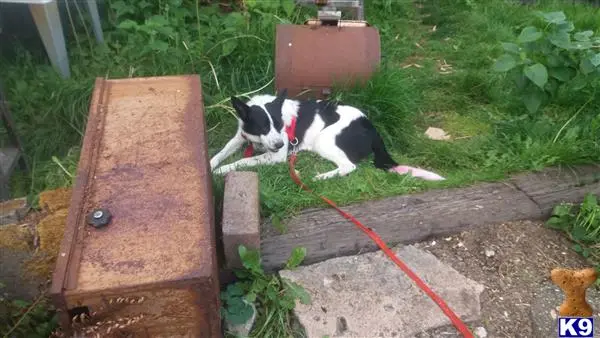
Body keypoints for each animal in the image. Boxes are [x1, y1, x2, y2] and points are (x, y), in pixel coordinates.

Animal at [209, 88, 442, 181]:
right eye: (263, 127)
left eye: (279, 124)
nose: (279, 145)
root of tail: (371, 126)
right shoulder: (240, 137)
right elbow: (221, 152)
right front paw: (210, 165)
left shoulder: (276, 156)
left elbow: (243, 161)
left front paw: (222, 170)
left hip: (325, 140)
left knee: (349, 166)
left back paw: (321, 177)